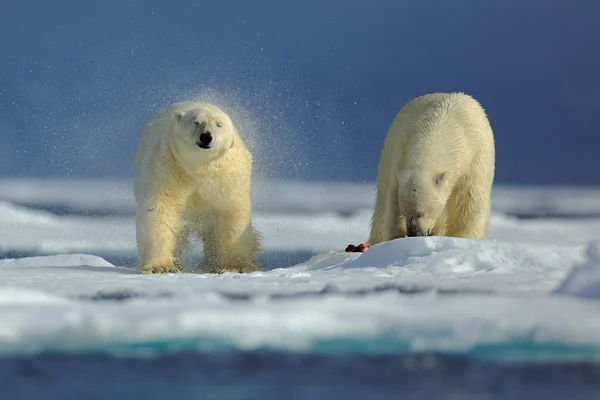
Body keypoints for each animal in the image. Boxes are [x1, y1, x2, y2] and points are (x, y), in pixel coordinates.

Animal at [134, 101, 260, 274]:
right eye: (196, 122)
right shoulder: (166, 168)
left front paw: (236, 267)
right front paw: (162, 267)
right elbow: (160, 210)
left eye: (219, 125)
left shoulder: (228, 176)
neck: (198, 167)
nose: (206, 136)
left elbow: (232, 212)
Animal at [368, 93, 494, 244]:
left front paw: (462, 238)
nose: (414, 233)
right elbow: (393, 202)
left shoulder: (475, 158)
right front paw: (396, 237)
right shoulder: (400, 154)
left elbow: (470, 201)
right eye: (406, 212)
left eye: (421, 213)